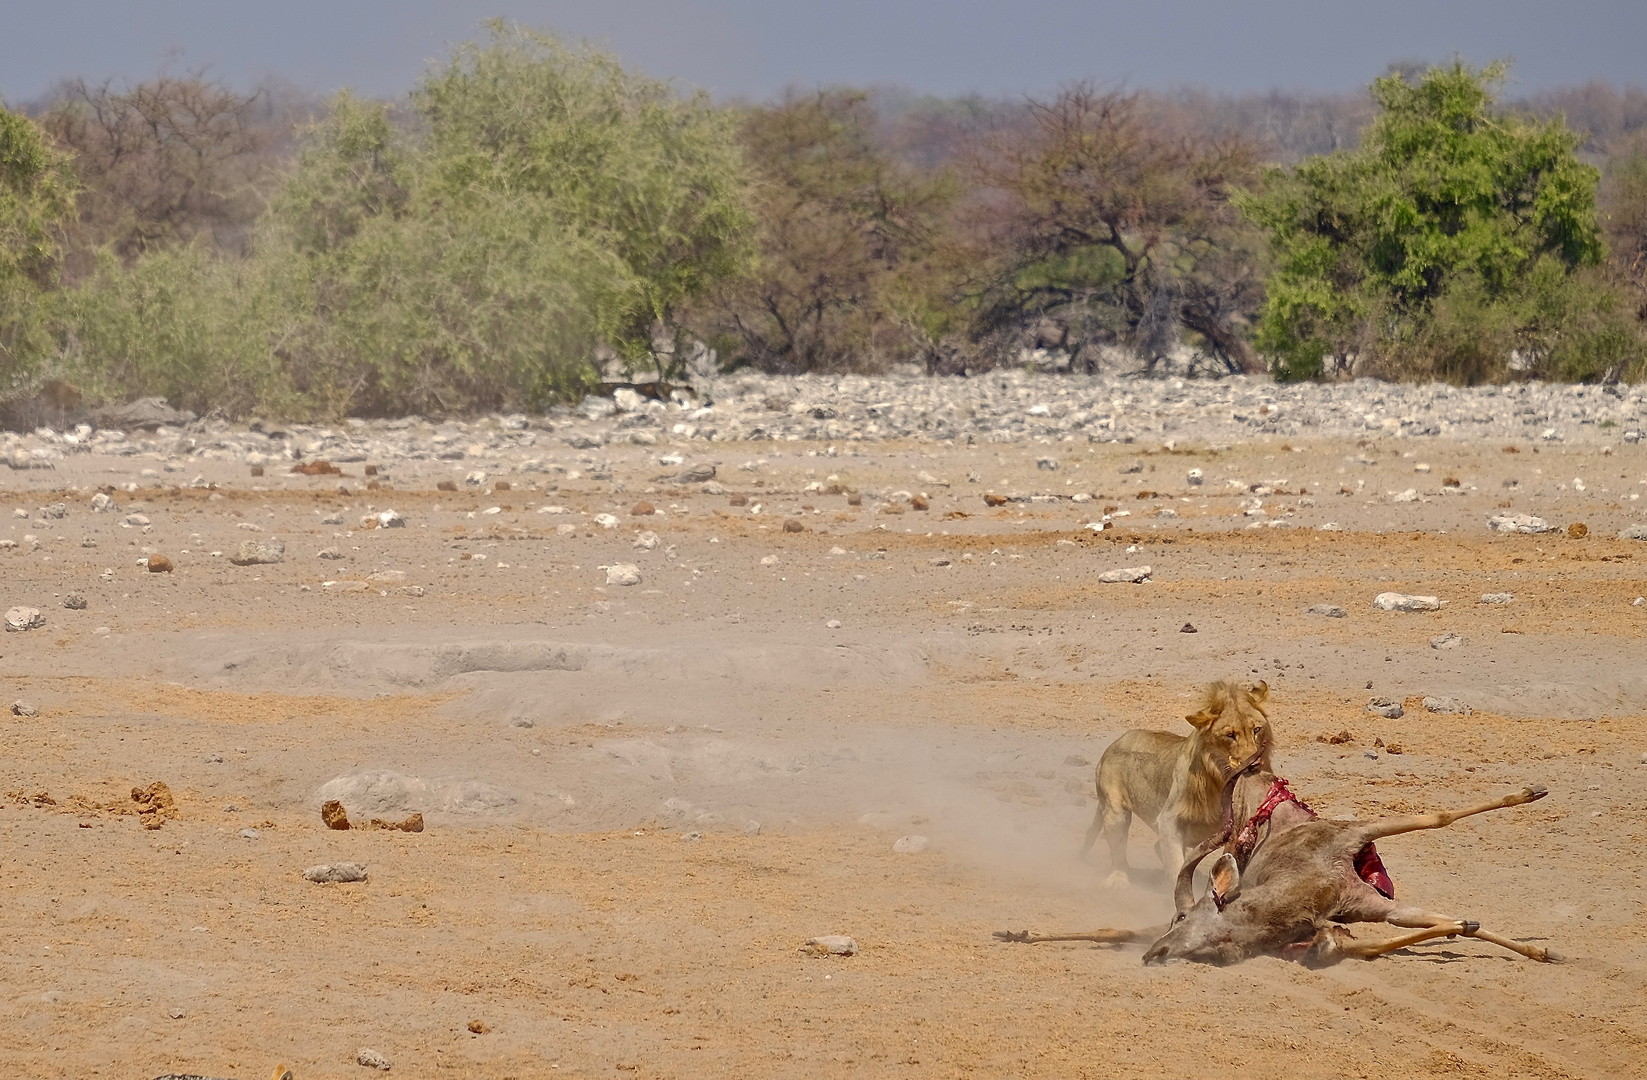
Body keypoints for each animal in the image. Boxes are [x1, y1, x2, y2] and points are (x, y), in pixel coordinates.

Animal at [1080, 684, 1271, 889]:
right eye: (1230, 735)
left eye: (1257, 730)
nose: (1254, 764)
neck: (1219, 779)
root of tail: (1115, 743)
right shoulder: (1169, 819)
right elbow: (1174, 862)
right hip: (1115, 812)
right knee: (1119, 851)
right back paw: (1119, 879)